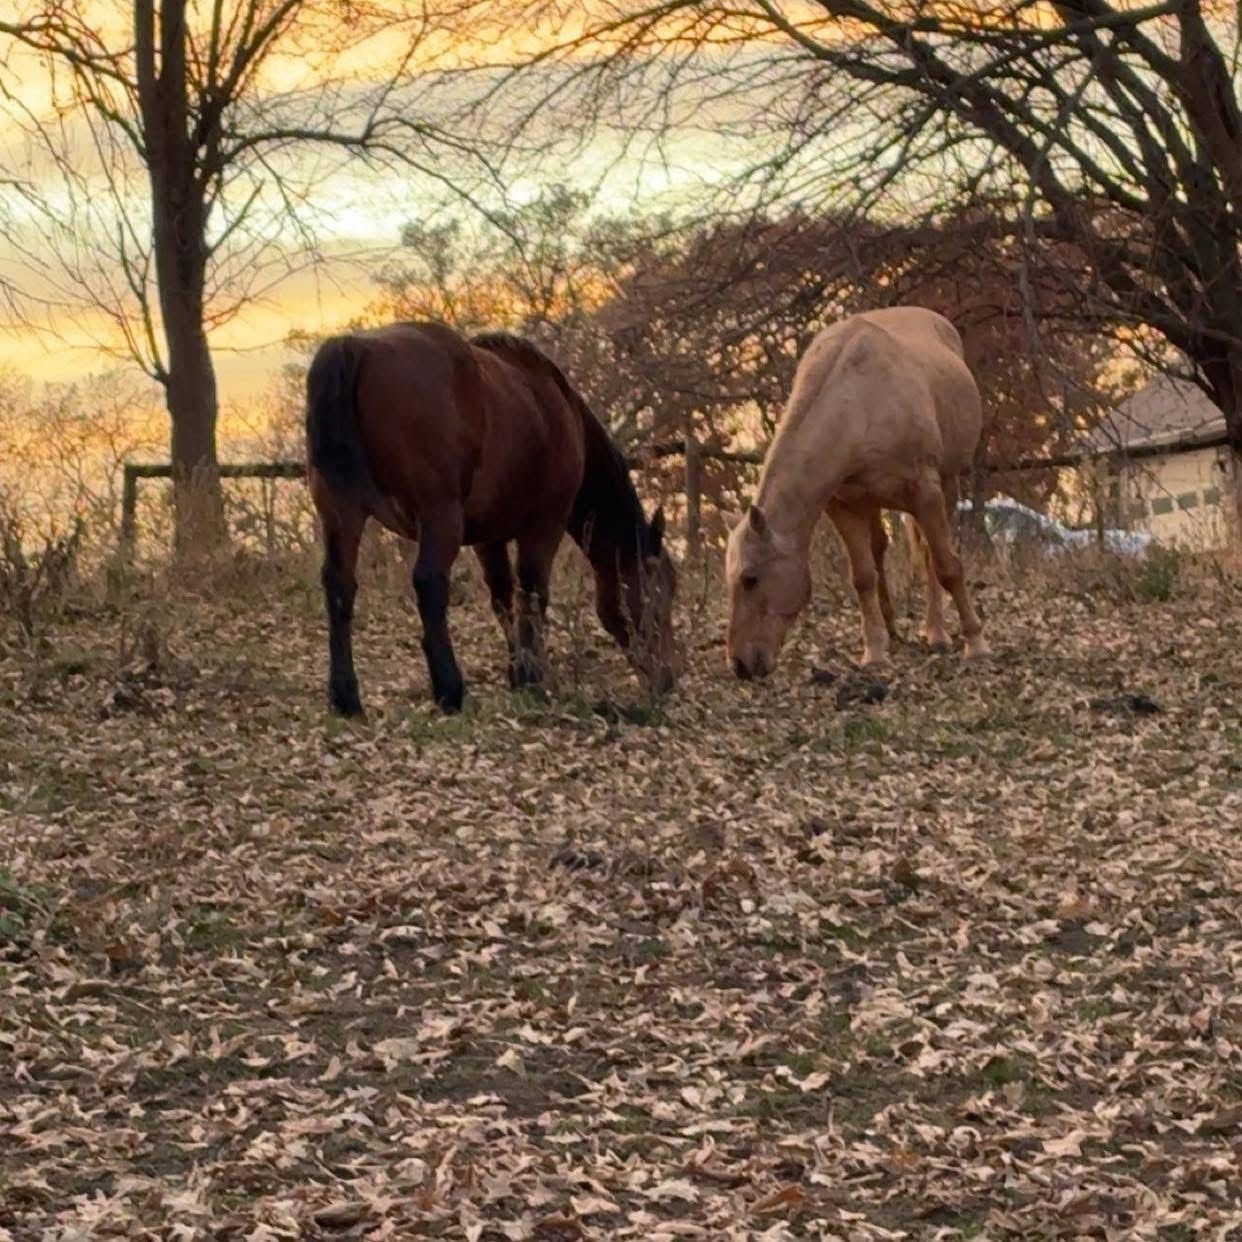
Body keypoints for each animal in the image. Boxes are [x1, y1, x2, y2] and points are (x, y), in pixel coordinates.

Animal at [305, 322, 677, 715]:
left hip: (342, 514)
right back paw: (449, 689)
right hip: (439, 518)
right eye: (659, 592)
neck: (557, 409)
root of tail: (357, 347)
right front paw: (531, 676)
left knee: (340, 586)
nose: (668, 678)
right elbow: (533, 592)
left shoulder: (489, 536)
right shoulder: (544, 525)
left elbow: (502, 595)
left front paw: (517, 670)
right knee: (429, 583)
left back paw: (346, 697)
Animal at [725, 306, 989, 677]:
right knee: (879, 550)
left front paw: (975, 643)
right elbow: (862, 576)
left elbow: (946, 567)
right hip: (873, 502)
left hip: (947, 486)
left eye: (751, 578)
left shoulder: (927, 495)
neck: (860, 403)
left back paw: (936, 632)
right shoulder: (844, 506)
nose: (740, 664)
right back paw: (892, 628)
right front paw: (875, 652)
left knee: (928, 557)